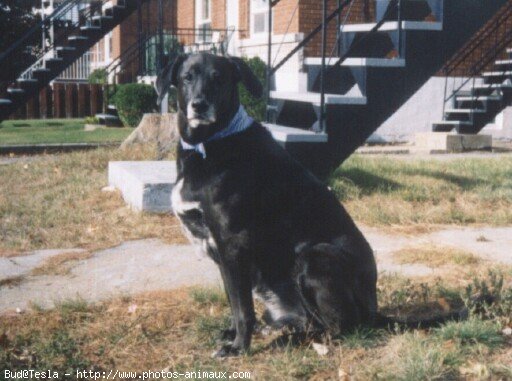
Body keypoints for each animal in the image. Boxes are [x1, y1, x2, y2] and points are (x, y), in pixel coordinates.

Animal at [154, 52, 390, 356]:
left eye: (219, 79)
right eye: (187, 77)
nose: (200, 105)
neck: (210, 142)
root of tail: (376, 311)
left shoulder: (233, 244)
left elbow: (243, 308)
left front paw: (238, 347)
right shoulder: (224, 255)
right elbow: (233, 300)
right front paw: (233, 334)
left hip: (315, 257)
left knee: (340, 328)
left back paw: (295, 340)